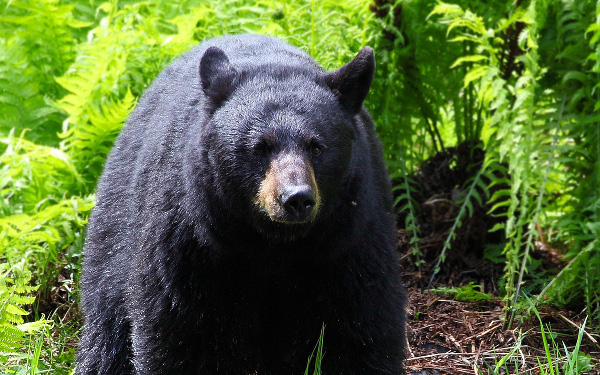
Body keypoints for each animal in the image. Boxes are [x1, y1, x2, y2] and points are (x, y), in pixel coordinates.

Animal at [74, 33, 404, 374]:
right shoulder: (190, 240)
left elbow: (360, 322)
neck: (274, 244)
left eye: (317, 146)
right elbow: (179, 329)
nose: (296, 198)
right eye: (259, 147)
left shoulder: (348, 238)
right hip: (118, 224)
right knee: (107, 320)